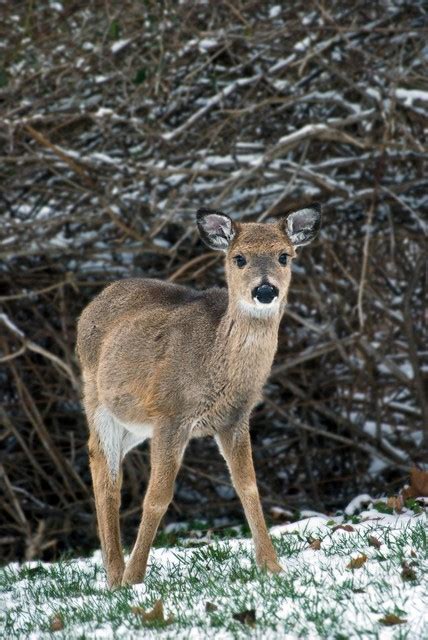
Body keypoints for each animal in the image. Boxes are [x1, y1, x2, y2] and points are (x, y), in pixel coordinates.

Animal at [77, 202, 320, 588]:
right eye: (239, 258)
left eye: (285, 255)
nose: (265, 290)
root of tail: (94, 303)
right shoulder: (171, 414)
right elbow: (157, 497)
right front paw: (135, 578)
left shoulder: (235, 418)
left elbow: (248, 486)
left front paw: (272, 566)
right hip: (98, 401)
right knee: (104, 473)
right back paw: (116, 576)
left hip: (135, 425)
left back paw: (112, 573)